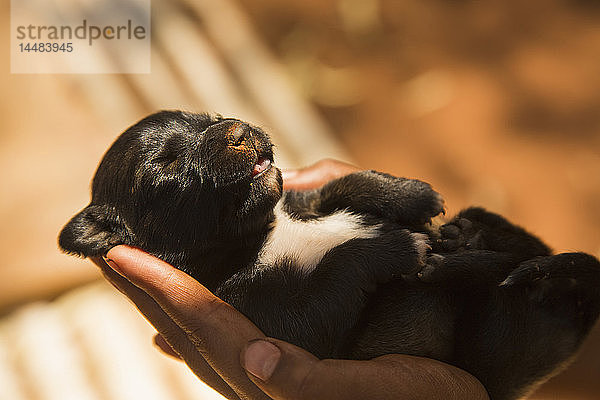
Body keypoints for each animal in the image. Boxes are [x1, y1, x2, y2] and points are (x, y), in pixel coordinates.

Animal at [59, 110, 600, 400]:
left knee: (525, 249)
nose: (238, 128)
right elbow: (337, 270)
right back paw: (456, 259)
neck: (263, 233)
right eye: (168, 163)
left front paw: (410, 195)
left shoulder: (304, 199)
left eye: (210, 117)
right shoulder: (276, 318)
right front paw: (392, 244)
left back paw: (467, 238)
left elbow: (343, 185)